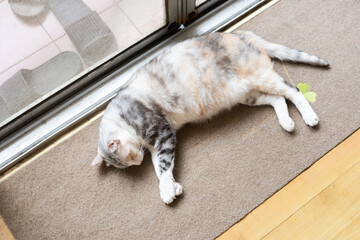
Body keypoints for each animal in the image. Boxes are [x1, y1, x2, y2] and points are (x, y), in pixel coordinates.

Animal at [92, 31, 330, 204]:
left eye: (131, 157)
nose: (138, 161)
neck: (122, 113)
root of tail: (239, 32)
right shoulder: (153, 145)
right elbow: (159, 167)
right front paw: (173, 186)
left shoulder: (162, 132)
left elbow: (163, 165)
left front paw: (167, 191)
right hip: (247, 94)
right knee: (278, 99)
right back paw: (287, 122)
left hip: (259, 77)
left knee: (292, 91)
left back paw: (310, 117)